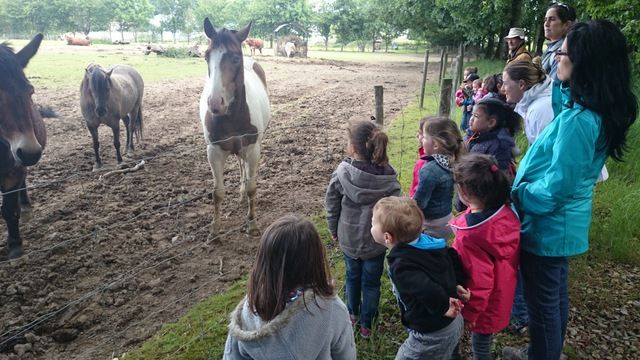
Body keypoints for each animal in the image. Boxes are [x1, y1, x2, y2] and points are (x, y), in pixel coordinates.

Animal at [200, 18, 270, 235]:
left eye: (235, 58)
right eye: (206, 56)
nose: (215, 104)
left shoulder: (253, 149)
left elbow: (252, 187)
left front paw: (252, 223)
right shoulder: (214, 152)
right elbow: (218, 193)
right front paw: (215, 230)